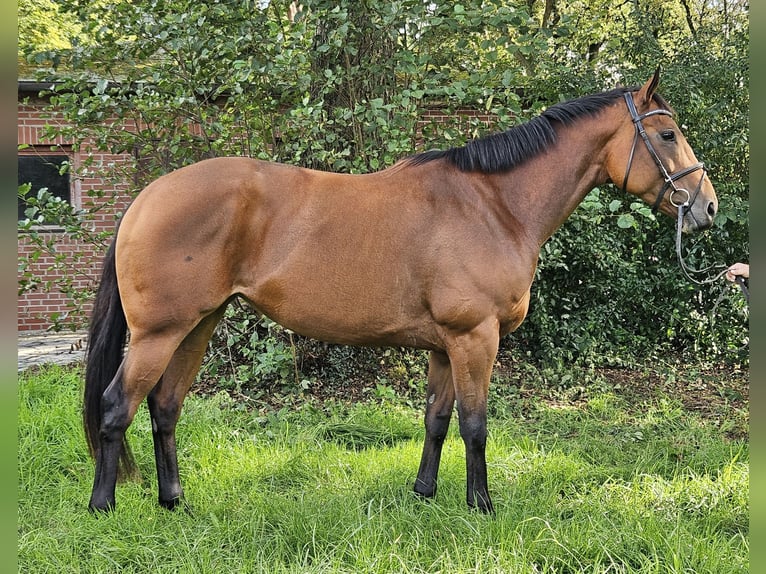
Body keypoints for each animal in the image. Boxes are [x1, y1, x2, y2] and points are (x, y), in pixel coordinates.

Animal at [84, 70, 720, 516]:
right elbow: (474, 424)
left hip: (198, 325)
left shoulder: (445, 345)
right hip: (159, 333)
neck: (494, 206)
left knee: (165, 407)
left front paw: (424, 494)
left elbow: (436, 419)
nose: (708, 208)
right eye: (668, 134)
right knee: (118, 407)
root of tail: (145, 199)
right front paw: (481, 506)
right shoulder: (475, 338)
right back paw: (103, 506)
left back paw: (174, 501)